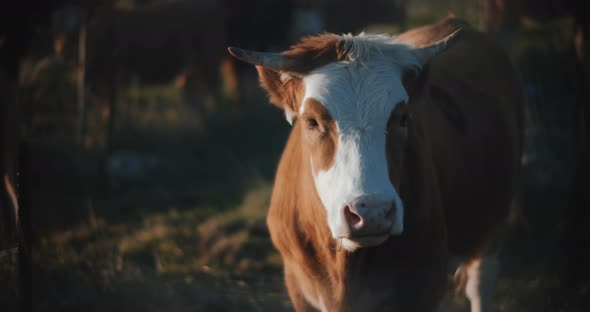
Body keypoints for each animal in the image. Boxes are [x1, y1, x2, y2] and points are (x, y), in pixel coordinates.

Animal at [229, 16, 524, 312]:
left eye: (403, 118)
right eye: (311, 121)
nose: (371, 212)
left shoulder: (422, 286)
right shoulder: (300, 288)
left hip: (492, 228)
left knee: (480, 283)